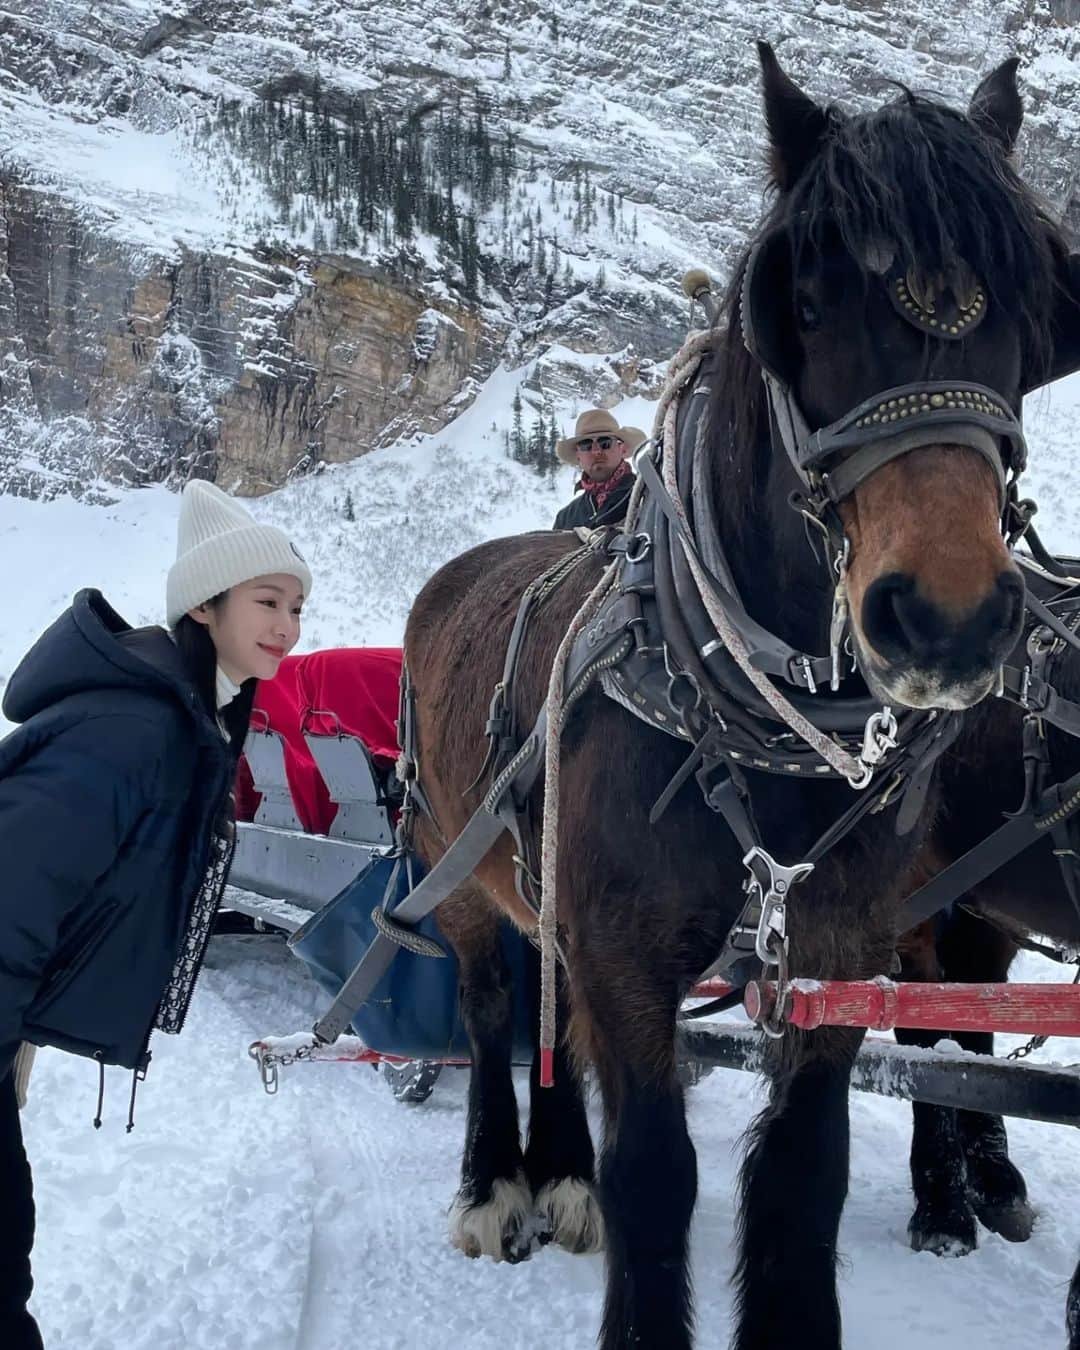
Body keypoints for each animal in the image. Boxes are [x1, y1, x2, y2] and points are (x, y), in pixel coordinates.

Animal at [407, 44, 1069, 1350]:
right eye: (804, 304)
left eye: (1028, 313)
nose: (952, 618)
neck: (758, 735)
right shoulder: (623, 948)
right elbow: (656, 1174)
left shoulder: (833, 954)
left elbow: (804, 1177)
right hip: (450, 866)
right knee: (493, 1008)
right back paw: (497, 1180)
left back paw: (560, 1172)